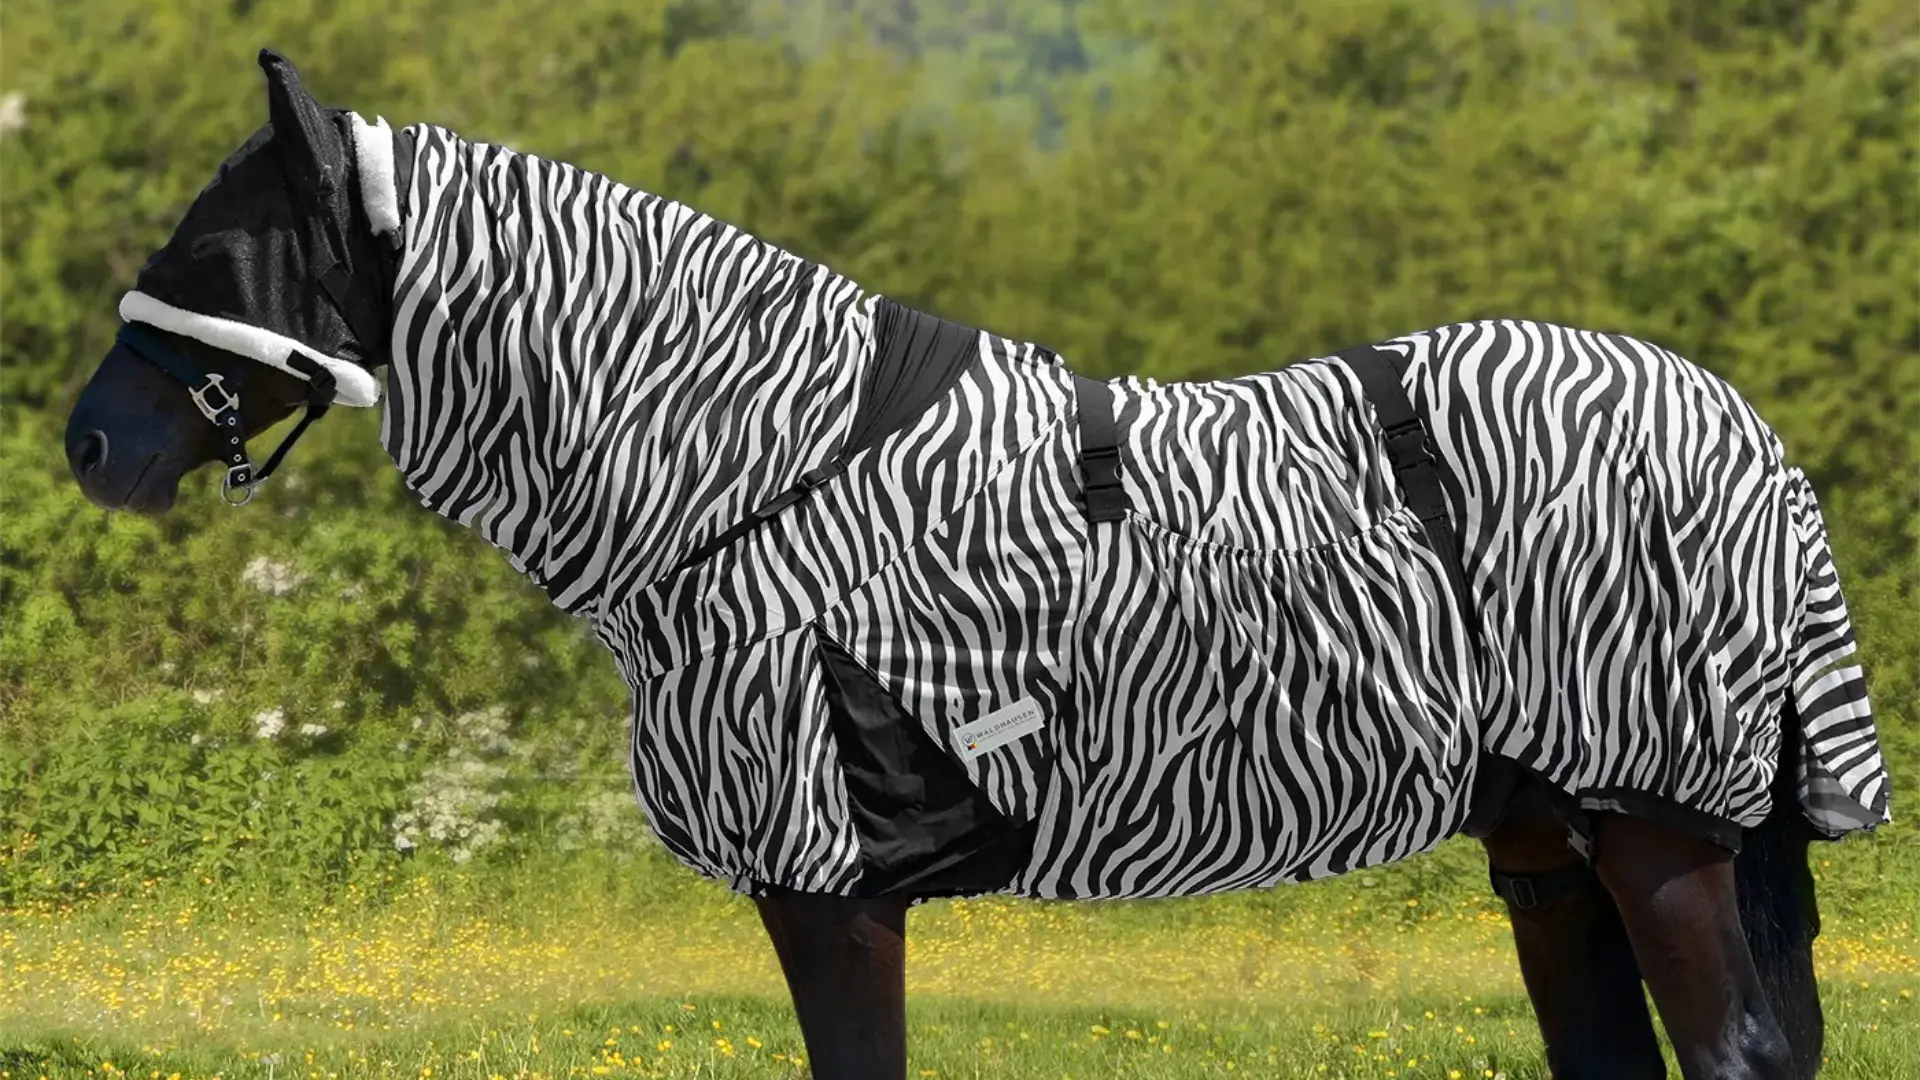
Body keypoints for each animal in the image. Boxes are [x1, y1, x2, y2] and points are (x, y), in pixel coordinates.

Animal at [62, 51, 1888, 1080]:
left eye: (215, 253)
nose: (89, 444)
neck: (746, 471)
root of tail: (1745, 433)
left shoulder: (830, 881)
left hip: (1658, 831)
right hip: (1548, 842)